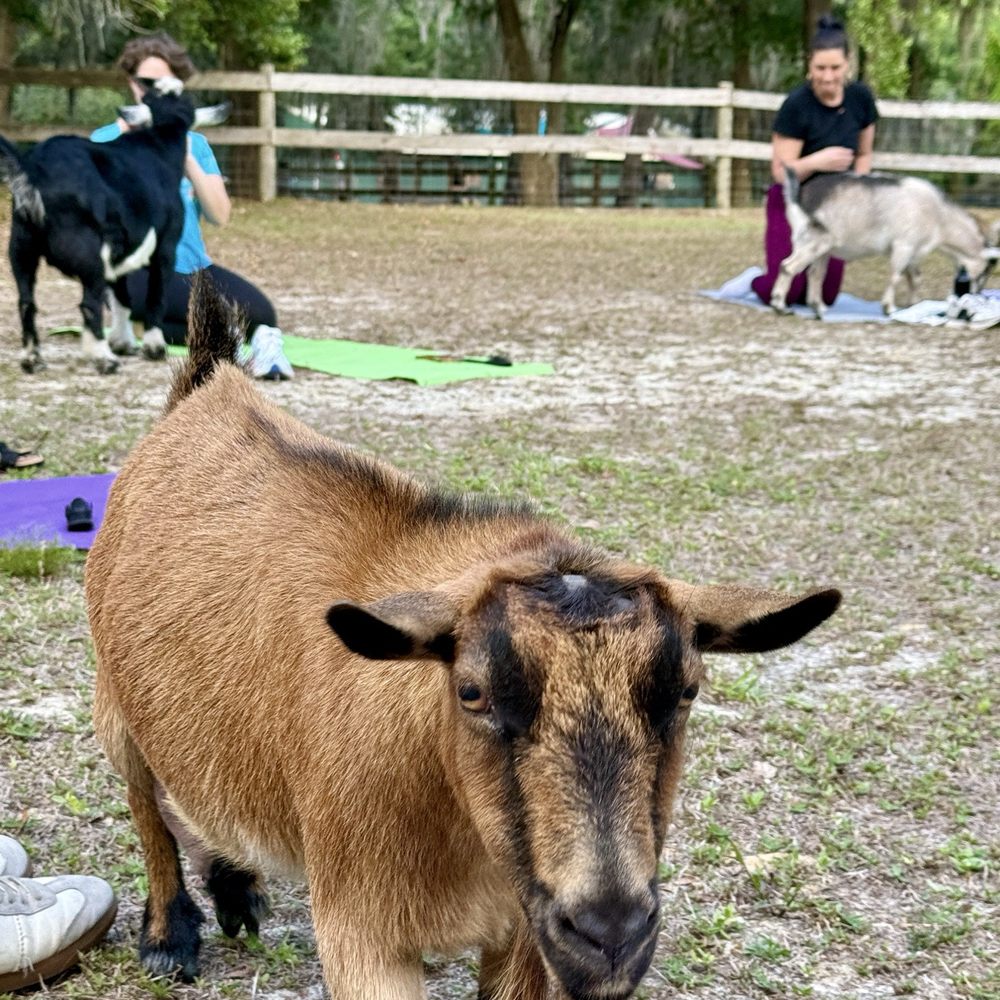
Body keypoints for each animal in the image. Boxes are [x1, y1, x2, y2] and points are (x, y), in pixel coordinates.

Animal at [0, 78, 227, 374]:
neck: (159, 146)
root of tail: (35, 173)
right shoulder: (166, 247)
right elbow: (156, 296)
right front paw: (153, 347)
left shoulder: (119, 250)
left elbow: (122, 299)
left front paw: (124, 342)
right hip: (87, 252)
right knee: (88, 304)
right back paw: (103, 358)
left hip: (21, 246)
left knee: (26, 302)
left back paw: (33, 359)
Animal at [86, 275, 842, 1000]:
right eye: (471, 692)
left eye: (687, 690)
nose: (610, 934)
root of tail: (209, 377)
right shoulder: (362, 929)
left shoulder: (523, 930)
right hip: (113, 702)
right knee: (146, 805)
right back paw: (169, 935)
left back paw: (236, 890)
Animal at [771, 166, 996, 318]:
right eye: (984, 272)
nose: (975, 295)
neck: (940, 217)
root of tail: (798, 196)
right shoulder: (904, 244)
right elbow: (896, 276)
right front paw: (889, 308)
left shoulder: (913, 251)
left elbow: (915, 278)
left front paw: (914, 304)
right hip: (813, 241)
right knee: (788, 267)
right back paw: (780, 306)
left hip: (824, 247)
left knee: (815, 274)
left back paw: (818, 307)